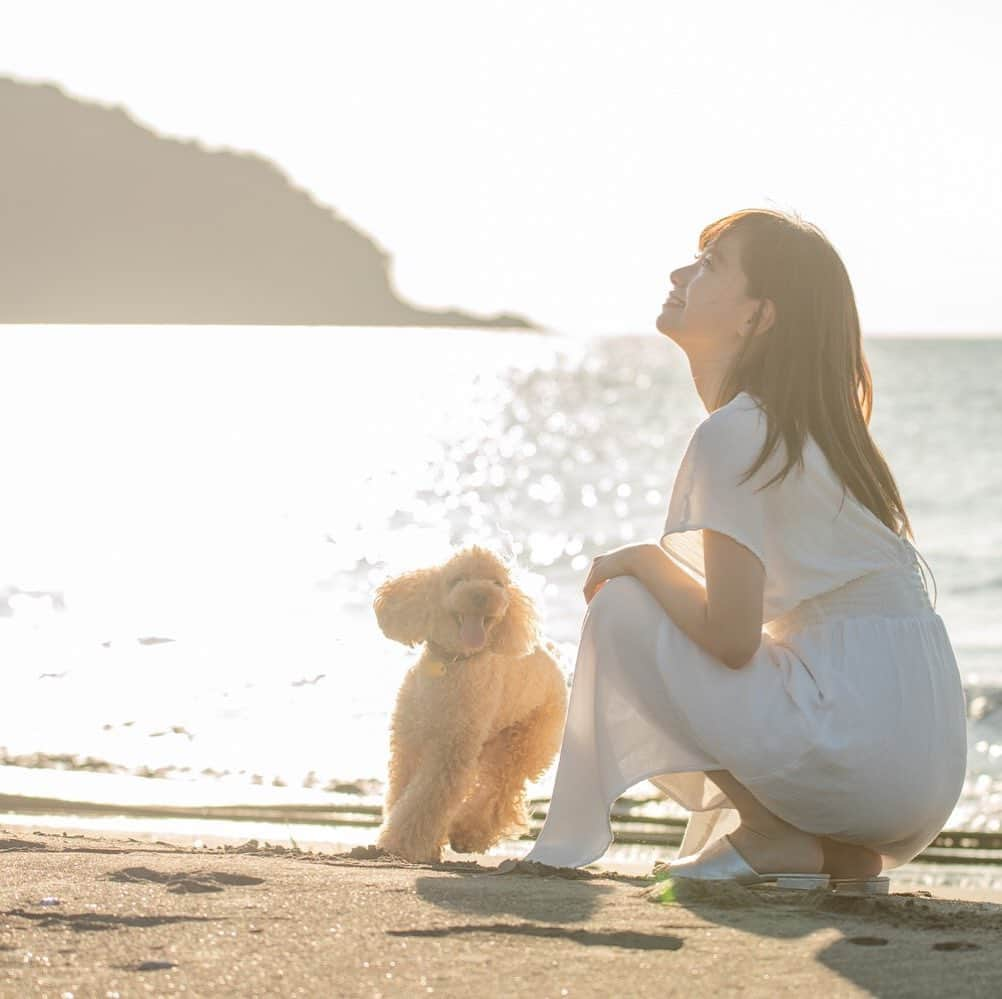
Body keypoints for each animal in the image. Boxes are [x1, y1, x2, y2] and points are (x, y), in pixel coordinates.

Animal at [372, 541, 569, 861]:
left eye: (497, 583)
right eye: (458, 580)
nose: (481, 595)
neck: (453, 662)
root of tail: (552, 655)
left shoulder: (451, 753)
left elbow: (425, 801)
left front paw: (400, 844)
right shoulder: (409, 742)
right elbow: (402, 790)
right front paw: (420, 845)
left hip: (522, 742)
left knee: (501, 790)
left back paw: (469, 834)